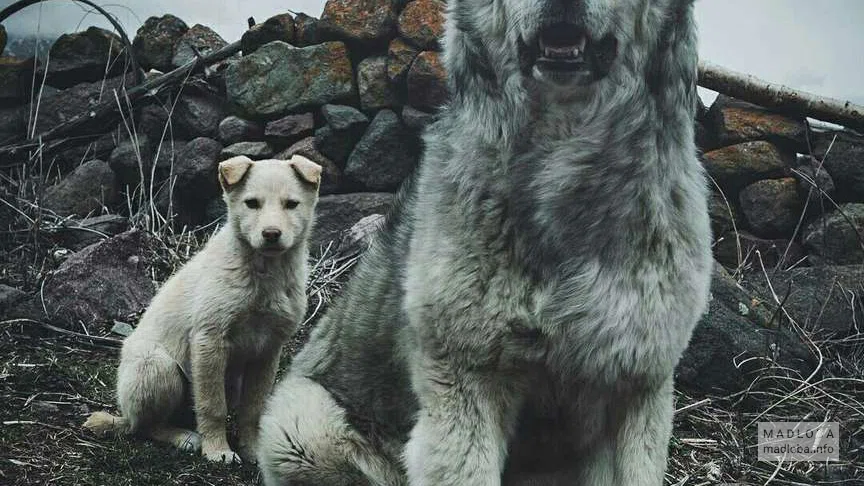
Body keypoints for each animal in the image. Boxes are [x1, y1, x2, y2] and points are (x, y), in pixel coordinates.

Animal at [84, 156, 322, 464]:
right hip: (157, 367)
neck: (264, 274)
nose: (271, 234)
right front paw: (218, 451)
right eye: (252, 203)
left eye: (291, 204)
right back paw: (184, 437)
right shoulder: (210, 340)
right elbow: (212, 406)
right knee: (145, 427)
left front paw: (252, 449)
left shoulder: (268, 350)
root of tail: (123, 415)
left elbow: (253, 408)